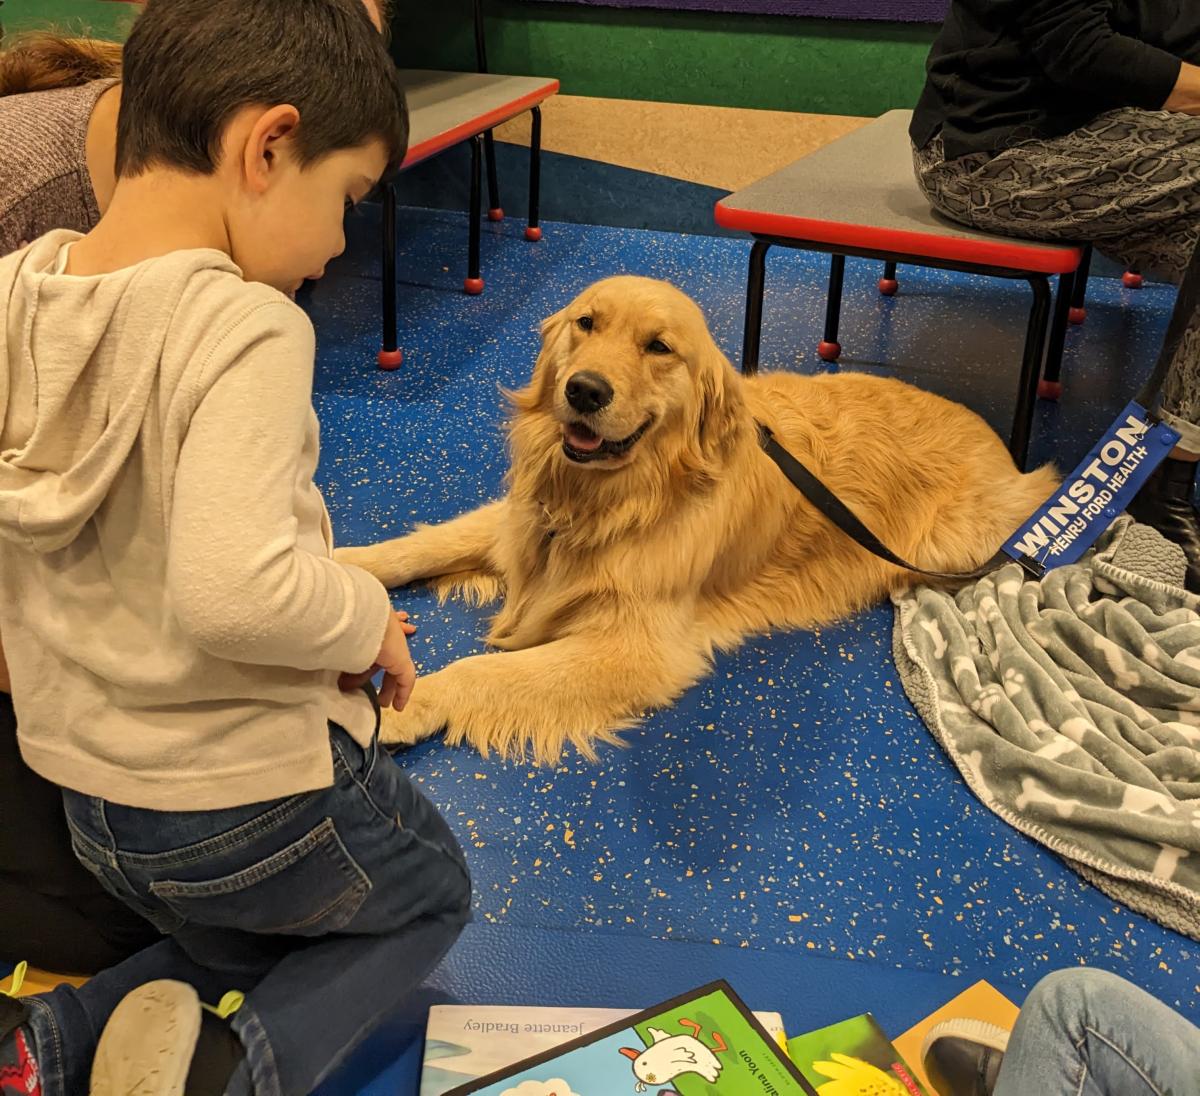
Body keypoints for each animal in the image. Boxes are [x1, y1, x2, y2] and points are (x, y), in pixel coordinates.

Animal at [336, 273, 1051, 763]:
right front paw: (340, 570)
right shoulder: (522, 522)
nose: (584, 390)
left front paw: (399, 707)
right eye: (586, 323)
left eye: (659, 347)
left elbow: (480, 670)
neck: (613, 499)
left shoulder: (635, 646)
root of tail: (1010, 456)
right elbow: (421, 545)